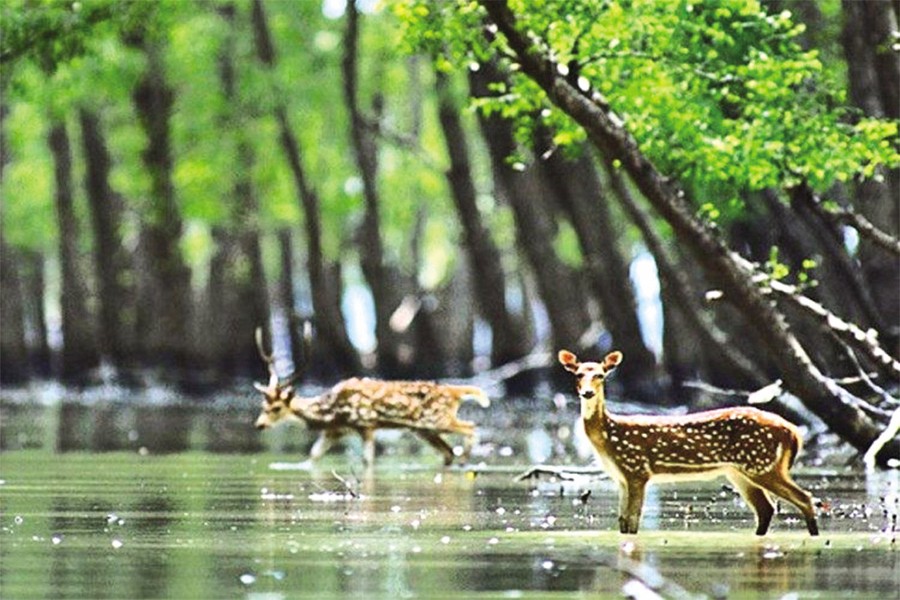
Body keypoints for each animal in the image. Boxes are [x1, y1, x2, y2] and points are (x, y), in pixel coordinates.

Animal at [253, 328, 488, 464]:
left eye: (276, 408)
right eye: (262, 407)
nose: (259, 425)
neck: (331, 412)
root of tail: (454, 391)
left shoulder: (366, 424)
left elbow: (367, 461)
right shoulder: (334, 431)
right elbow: (313, 456)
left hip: (437, 419)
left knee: (471, 428)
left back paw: (465, 458)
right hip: (424, 429)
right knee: (448, 452)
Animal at [560, 346, 820, 536]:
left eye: (600, 375)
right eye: (578, 374)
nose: (587, 393)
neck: (609, 437)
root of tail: (792, 431)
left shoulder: (637, 470)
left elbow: (633, 521)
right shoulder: (621, 477)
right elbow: (623, 521)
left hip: (762, 464)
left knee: (804, 499)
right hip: (741, 471)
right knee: (766, 509)